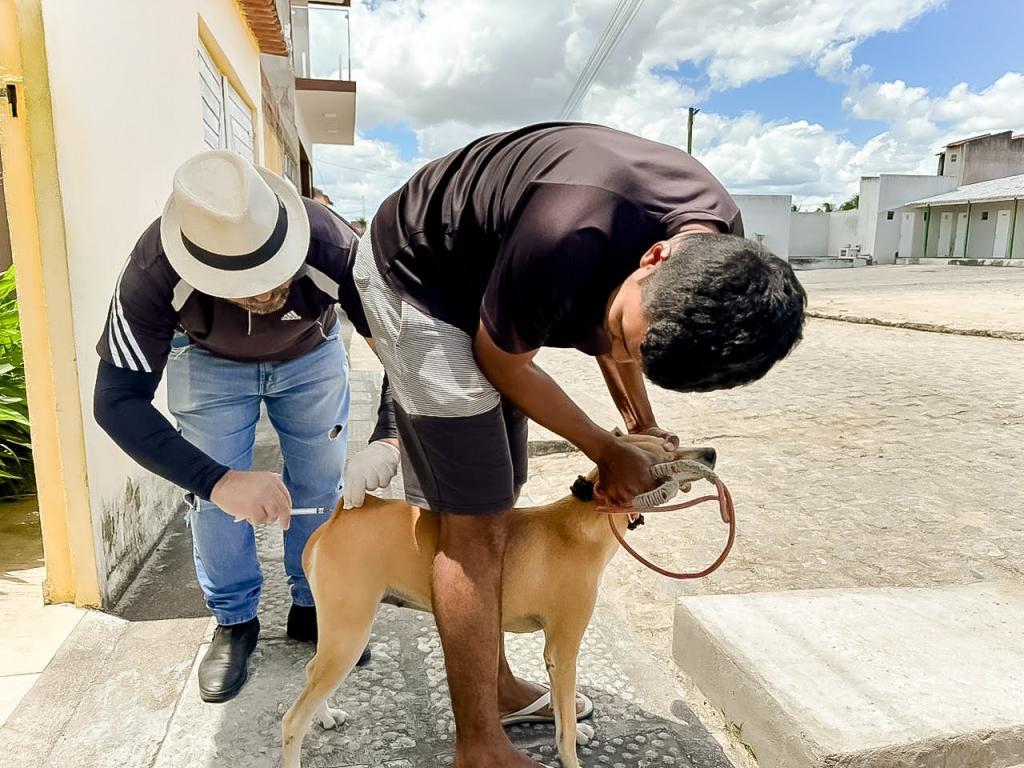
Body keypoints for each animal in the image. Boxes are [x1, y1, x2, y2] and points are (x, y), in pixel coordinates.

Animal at [282, 433, 717, 768]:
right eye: (663, 458)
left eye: (670, 441)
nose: (710, 454)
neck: (584, 521)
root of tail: (343, 513)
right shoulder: (563, 650)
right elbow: (564, 723)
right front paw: (570, 754)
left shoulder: (554, 654)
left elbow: (562, 714)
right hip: (349, 635)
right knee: (291, 720)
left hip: (340, 635)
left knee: (309, 671)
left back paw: (326, 717)